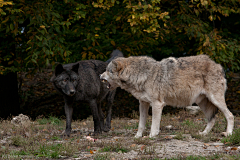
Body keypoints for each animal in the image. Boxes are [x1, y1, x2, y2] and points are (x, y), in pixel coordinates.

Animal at [101, 54, 234, 138]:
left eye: (107, 71)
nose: (99, 75)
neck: (140, 74)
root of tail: (218, 65)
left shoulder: (157, 104)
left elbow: (154, 124)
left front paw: (151, 136)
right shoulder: (143, 104)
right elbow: (141, 124)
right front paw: (137, 137)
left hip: (215, 100)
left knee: (230, 115)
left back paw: (228, 134)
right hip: (203, 103)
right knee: (212, 119)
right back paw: (204, 134)